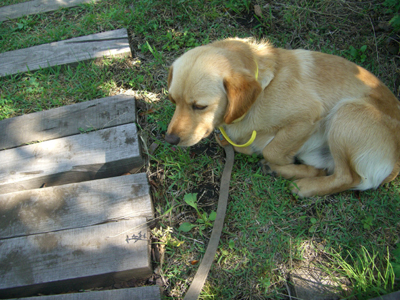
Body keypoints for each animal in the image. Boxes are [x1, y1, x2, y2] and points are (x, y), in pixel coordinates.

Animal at [163, 38, 400, 197]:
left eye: (199, 106)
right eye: (173, 100)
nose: (170, 140)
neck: (264, 89)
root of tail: (395, 164)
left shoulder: (308, 116)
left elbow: (272, 150)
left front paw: (280, 161)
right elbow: (245, 146)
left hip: (345, 113)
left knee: (349, 177)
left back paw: (303, 185)